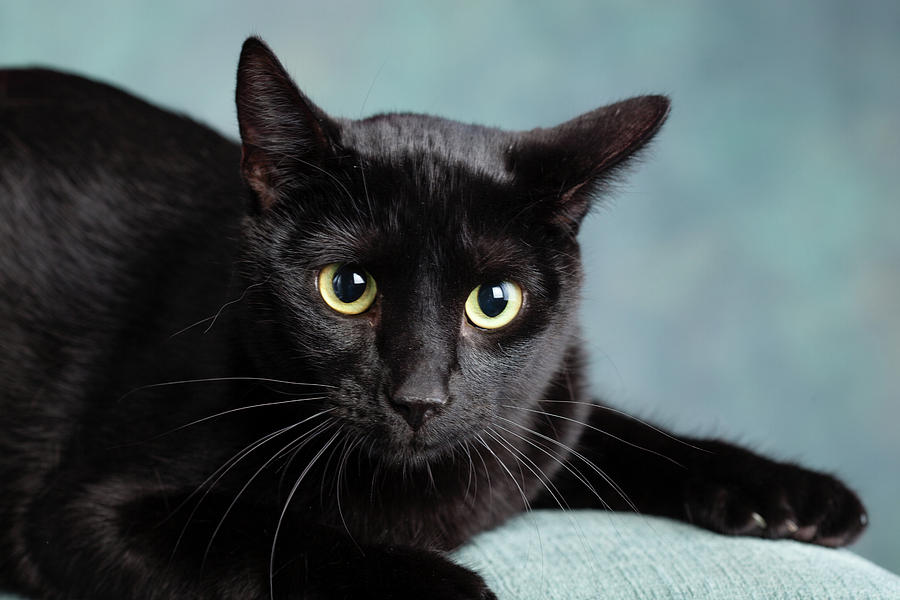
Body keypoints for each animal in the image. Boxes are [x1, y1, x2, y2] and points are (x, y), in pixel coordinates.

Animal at [0, 37, 868, 600]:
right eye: (346, 287)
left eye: (495, 301)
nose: (420, 396)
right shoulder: (83, 512)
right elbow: (262, 532)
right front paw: (439, 584)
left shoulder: (544, 418)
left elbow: (630, 438)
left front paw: (789, 493)